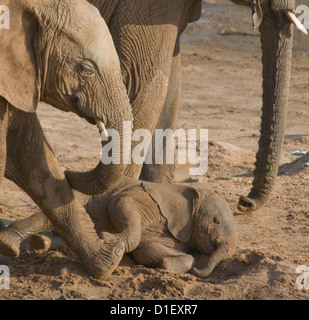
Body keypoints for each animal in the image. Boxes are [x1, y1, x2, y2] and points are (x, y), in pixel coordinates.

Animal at [0, 178, 235, 280]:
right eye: (215, 220)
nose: (197, 273)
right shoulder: (146, 197)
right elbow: (121, 203)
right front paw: (110, 240)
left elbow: (148, 248)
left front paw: (167, 266)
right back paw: (10, 245)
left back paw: (41, 243)